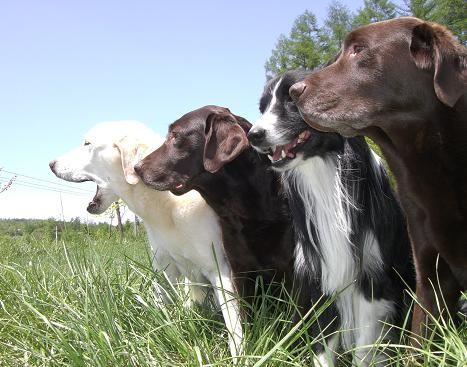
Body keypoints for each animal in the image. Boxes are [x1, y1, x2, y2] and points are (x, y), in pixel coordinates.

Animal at [249, 70, 416, 366]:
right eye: (262, 107)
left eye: (292, 98)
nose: (252, 135)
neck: (325, 168)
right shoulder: (321, 281)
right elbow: (322, 345)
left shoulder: (373, 280)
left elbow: (363, 349)